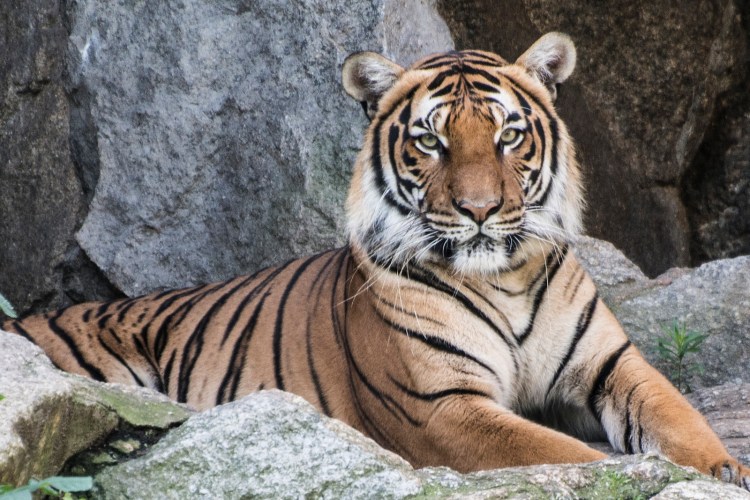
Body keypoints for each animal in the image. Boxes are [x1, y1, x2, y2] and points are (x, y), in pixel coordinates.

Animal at [2, 32, 748, 489]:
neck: (503, 276)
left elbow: (682, 417)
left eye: (507, 137)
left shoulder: (613, 366)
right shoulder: (443, 409)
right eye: (431, 141)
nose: (480, 209)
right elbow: (568, 457)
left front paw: (723, 470)